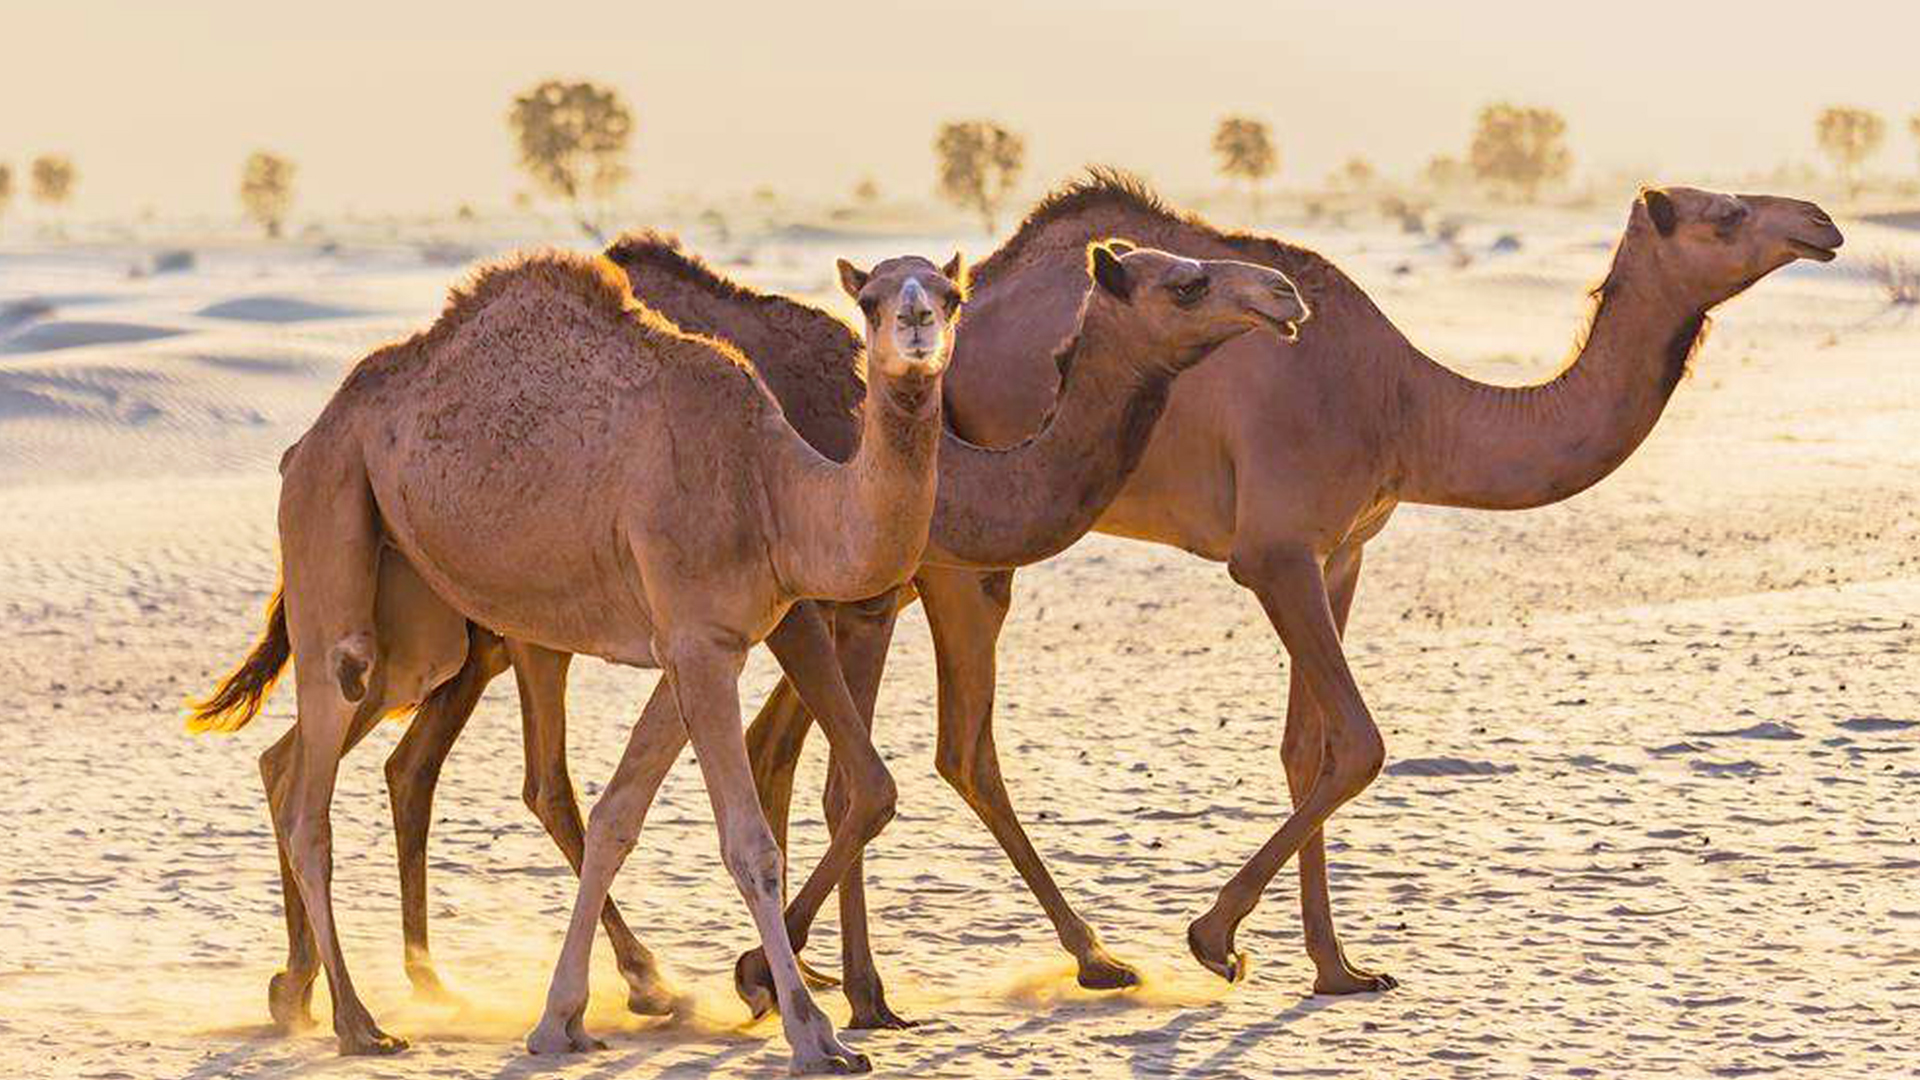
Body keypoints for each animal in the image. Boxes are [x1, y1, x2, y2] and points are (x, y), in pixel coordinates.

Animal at [733, 174, 1843, 991]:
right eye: (1726, 212)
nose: (1822, 222)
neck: (1411, 407)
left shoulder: (1345, 551)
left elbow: (1307, 750)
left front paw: (1339, 967)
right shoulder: (1273, 551)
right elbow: (1359, 742)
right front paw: (1215, 940)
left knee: (799, 740)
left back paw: (837, 979)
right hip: (944, 564)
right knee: (926, 752)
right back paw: (917, 984)